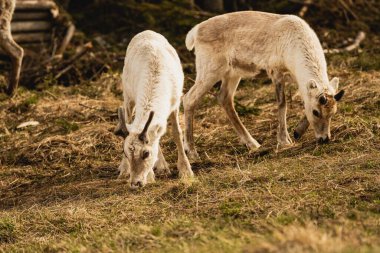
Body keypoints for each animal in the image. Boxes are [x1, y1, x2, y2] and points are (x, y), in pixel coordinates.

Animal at [114, 30, 193, 188]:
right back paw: (125, 170)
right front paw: (150, 176)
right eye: (126, 153)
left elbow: (176, 133)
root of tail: (146, 31)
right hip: (128, 96)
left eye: (146, 153)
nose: (135, 183)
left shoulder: (175, 104)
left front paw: (186, 171)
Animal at [184, 11, 344, 159]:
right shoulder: (275, 71)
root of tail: (193, 33)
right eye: (316, 112)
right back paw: (192, 152)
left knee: (224, 98)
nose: (324, 139)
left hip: (232, 72)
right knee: (189, 98)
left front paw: (296, 133)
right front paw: (285, 141)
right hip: (210, 68)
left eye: (333, 112)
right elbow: (282, 104)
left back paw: (253, 144)